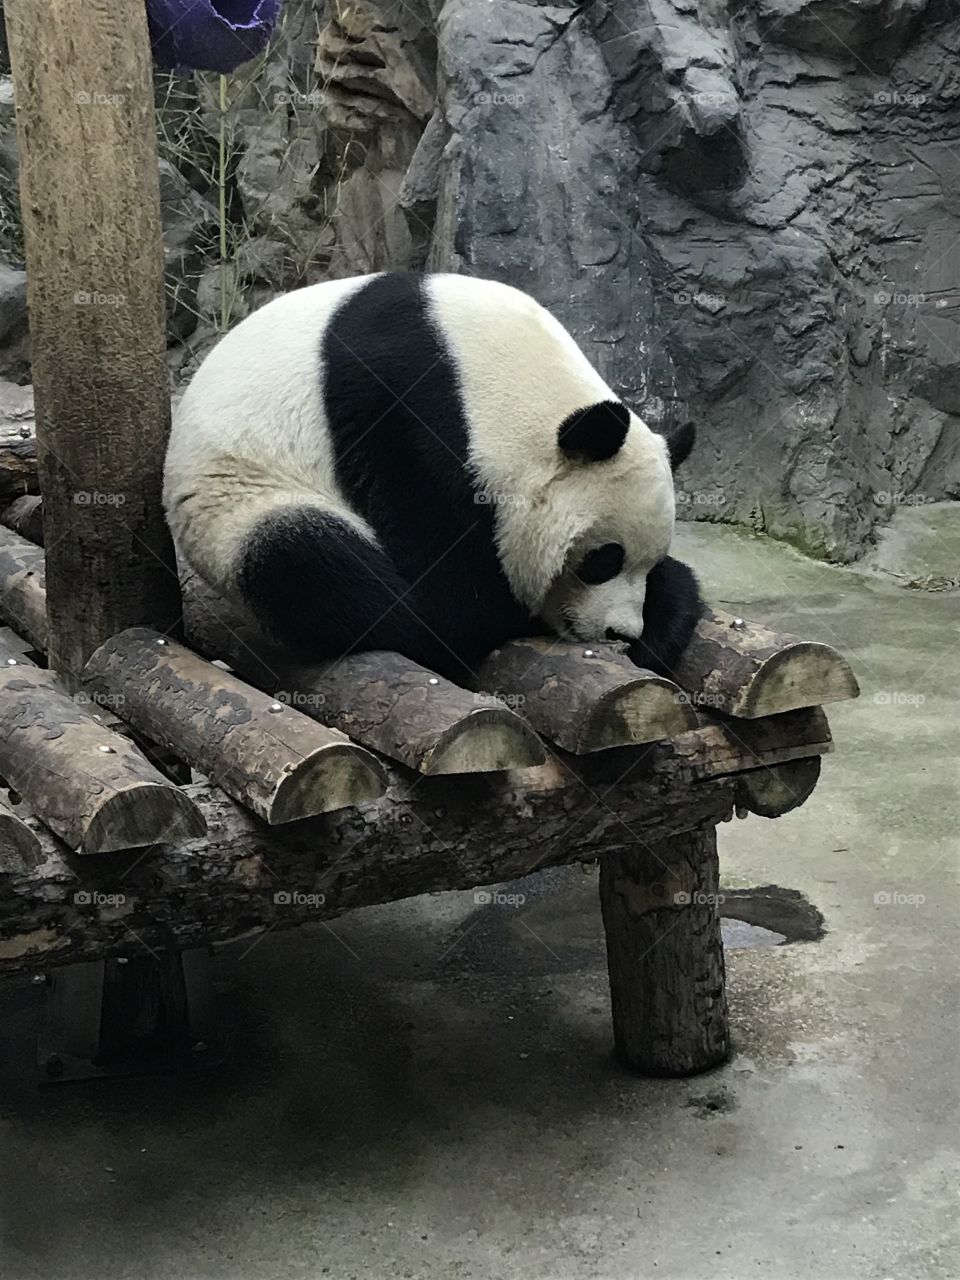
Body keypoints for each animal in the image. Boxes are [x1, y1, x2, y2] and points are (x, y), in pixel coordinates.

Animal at [164, 272, 703, 686]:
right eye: (603, 560)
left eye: (643, 562)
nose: (620, 633)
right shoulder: (400, 413)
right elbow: (449, 582)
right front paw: (491, 610)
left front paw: (667, 608)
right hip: (239, 501)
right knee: (313, 564)